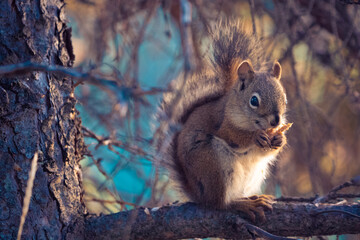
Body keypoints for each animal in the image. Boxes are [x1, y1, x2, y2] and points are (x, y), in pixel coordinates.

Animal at [158, 20, 290, 221]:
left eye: (284, 98)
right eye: (254, 100)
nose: (275, 121)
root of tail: (198, 194)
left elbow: (265, 152)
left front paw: (279, 139)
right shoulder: (221, 122)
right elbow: (233, 135)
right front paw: (255, 137)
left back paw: (252, 198)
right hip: (214, 166)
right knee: (220, 204)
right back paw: (242, 204)